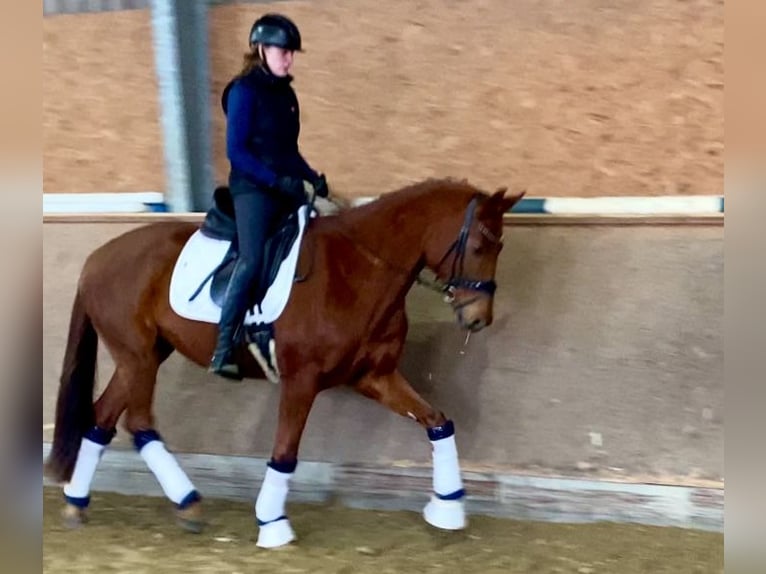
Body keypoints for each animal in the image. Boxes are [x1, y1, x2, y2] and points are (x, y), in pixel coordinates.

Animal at [45, 178, 524, 552]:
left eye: (501, 245)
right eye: (480, 244)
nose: (478, 319)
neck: (358, 271)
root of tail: (96, 259)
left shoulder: (375, 377)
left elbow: (439, 422)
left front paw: (448, 508)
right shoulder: (301, 381)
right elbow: (285, 453)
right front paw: (272, 524)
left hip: (142, 356)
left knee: (103, 417)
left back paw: (77, 503)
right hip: (139, 356)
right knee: (139, 421)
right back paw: (188, 504)